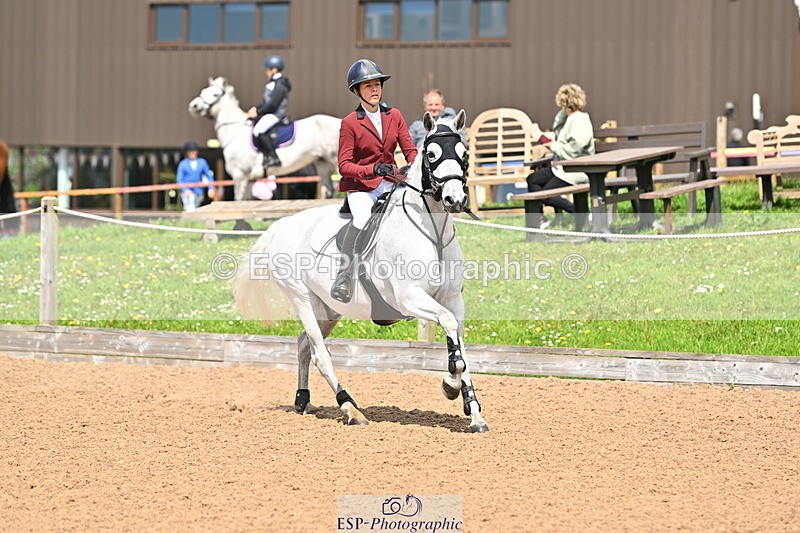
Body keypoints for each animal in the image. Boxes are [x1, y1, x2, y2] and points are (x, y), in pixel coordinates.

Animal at [188, 77, 341, 200]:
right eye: (203, 91)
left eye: (215, 94)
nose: (193, 106)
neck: (235, 130)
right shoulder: (249, 179)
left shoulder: (240, 175)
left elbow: (239, 201)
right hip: (323, 164)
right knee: (328, 191)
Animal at [234, 109, 489, 433]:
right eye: (431, 154)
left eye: (464, 154)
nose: (454, 200)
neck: (433, 232)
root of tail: (282, 225)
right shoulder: (410, 298)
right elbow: (448, 329)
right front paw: (450, 386)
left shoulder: (454, 301)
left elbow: (459, 346)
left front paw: (474, 412)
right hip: (303, 300)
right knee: (320, 354)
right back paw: (350, 409)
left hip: (328, 309)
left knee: (304, 344)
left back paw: (303, 400)